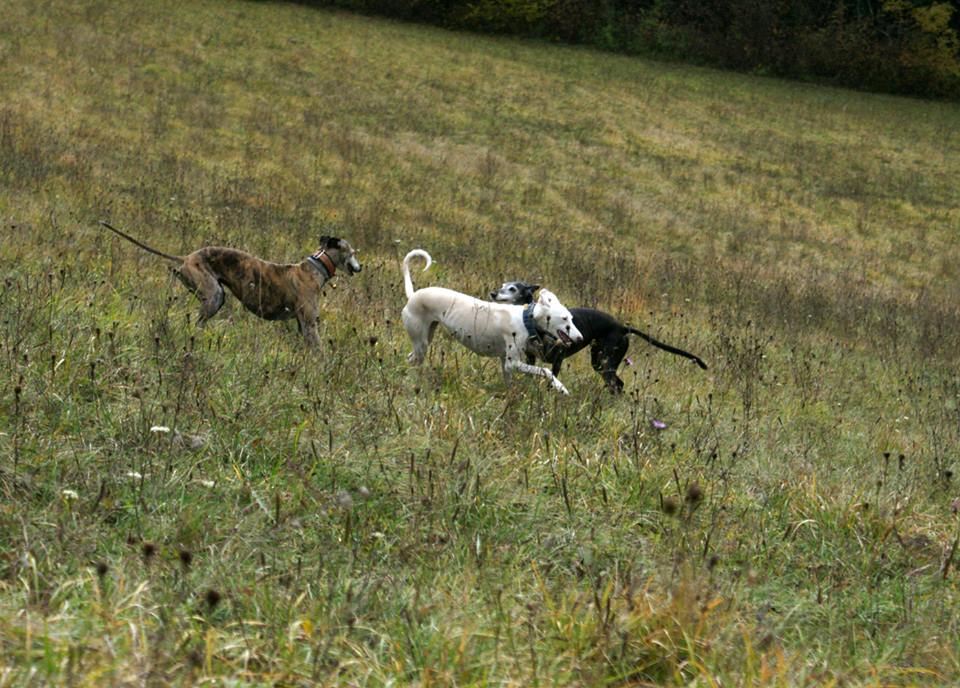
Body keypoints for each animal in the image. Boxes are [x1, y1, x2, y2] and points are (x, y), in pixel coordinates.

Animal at [400, 251, 580, 392]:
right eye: (564, 318)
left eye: (571, 318)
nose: (580, 338)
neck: (525, 317)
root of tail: (413, 295)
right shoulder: (512, 363)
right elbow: (546, 371)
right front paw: (560, 387)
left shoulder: (505, 362)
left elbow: (509, 384)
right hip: (421, 342)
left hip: (426, 337)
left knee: (411, 358)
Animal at [492, 282, 708, 392]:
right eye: (503, 284)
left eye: (512, 288)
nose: (493, 293)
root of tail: (622, 327)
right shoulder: (531, 357)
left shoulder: (558, 360)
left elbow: (552, 378)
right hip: (599, 361)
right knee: (616, 383)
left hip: (606, 361)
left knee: (618, 384)